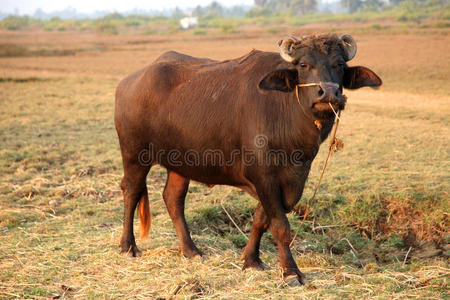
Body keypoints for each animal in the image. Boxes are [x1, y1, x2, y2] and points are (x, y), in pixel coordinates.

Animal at [114, 34, 382, 284]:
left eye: (339, 64)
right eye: (304, 65)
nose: (328, 92)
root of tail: (128, 83)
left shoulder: (290, 179)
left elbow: (261, 221)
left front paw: (251, 260)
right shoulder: (263, 176)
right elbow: (280, 226)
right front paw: (291, 272)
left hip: (180, 162)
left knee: (173, 198)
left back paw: (191, 250)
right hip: (135, 154)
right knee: (131, 191)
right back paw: (128, 246)